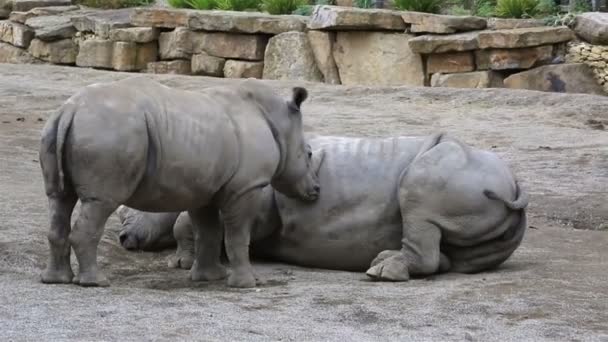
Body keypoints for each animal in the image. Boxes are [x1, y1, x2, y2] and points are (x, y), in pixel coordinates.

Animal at [39, 77, 318, 288]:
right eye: (309, 154)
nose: (315, 190)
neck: (280, 123)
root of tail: (70, 110)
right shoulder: (246, 187)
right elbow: (237, 235)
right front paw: (248, 284)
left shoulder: (204, 187)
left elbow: (208, 232)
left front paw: (210, 277)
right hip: (108, 132)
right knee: (100, 203)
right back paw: (96, 283)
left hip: (60, 128)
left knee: (59, 199)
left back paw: (55, 280)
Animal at [117, 134, 528, 280]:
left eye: (135, 209)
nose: (123, 239)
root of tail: (514, 182)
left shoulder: (256, 198)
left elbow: (185, 223)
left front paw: (180, 262)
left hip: (453, 170)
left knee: (419, 196)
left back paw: (381, 271)